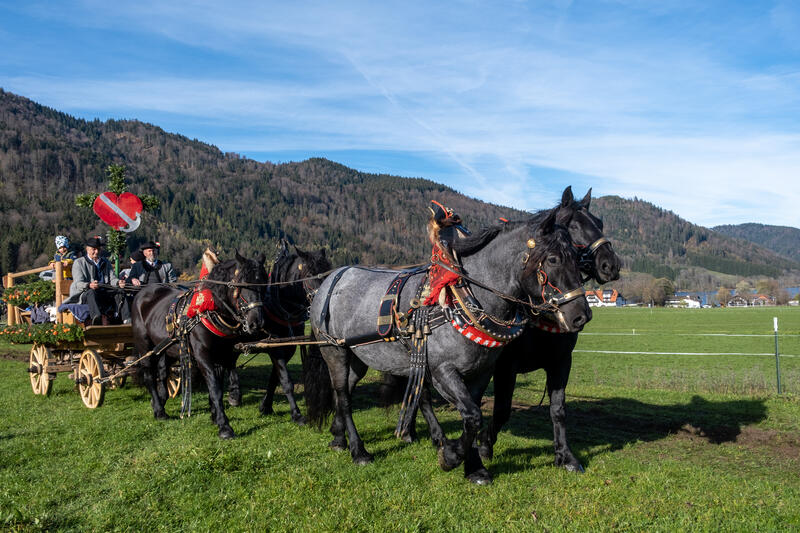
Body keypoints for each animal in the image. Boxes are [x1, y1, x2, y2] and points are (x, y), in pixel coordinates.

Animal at [133, 251, 268, 438]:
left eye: (264, 284)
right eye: (241, 284)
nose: (257, 322)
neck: (211, 310)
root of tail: (142, 293)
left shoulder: (222, 355)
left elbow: (216, 386)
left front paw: (215, 416)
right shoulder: (202, 355)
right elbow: (214, 387)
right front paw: (224, 426)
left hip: (167, 349)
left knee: (162, 374)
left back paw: (158, 402)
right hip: (145, 346)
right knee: (149, 377)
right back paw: (159, 411)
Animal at [227, 241, 332, 424]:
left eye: (328, 272)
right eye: (310, 274)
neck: (281, 305)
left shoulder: (288, 346)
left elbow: (275, 378)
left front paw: (265, 406)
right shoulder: (275, 347)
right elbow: (286, 380)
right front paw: (296, 414)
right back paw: (234, 393)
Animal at [304, 210, 592, 484]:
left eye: (577, 258)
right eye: (553, 259)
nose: (582, 315)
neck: (466, 300)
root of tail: (331, 279)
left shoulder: (482, 372)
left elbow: (473, 415)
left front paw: (474, 467)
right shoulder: (443, 371)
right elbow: (472, 415)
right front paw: (452, 456)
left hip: (358, 357)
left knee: (345, 392)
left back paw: (339, 438)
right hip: (335, 352)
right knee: (343, 397)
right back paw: (358, 450)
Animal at [396, 186, 620, 470]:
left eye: (599, 223)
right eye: (575, 227)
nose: (611, 265)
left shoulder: (560, 361)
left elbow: (558, 410)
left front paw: (566, 456)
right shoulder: (505, 365)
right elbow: (501, 410)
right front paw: (484, 445)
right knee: (422, 393)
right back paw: (434, 437)